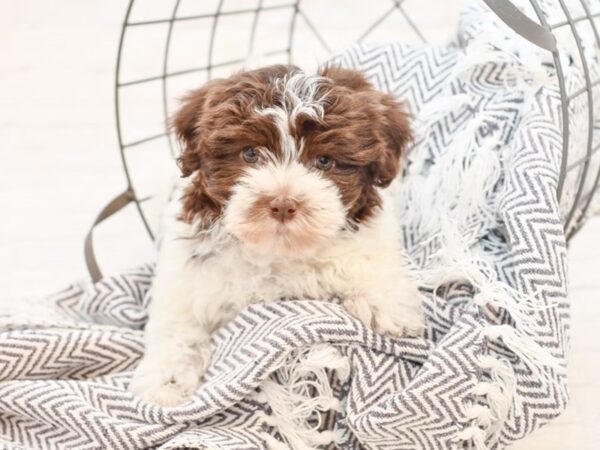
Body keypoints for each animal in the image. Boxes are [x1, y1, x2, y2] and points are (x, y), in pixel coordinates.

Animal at [129, 65, 424, 406]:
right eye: (250, 153)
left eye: (324, 160)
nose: (282, 203)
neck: (278, 249)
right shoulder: (188, 272)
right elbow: (178, 323)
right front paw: (167, 379)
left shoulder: (370, 231)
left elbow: (371, 261)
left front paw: (388, 306)